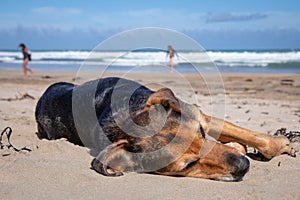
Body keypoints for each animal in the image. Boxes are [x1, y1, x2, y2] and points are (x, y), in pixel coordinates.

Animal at [35, 77, 296, 182]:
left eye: (201, 133)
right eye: (189, 165)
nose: (245, 166)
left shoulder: (200, 115)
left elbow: (253, 137)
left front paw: (281, 143)